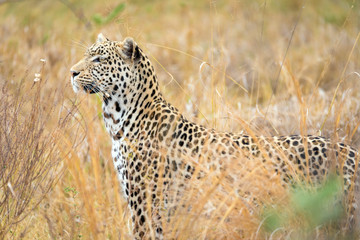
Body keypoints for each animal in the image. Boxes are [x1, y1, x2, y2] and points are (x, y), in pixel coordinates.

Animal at [71, 32, 360, 239]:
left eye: (98, 60)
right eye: (86, 55)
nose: (72, 72)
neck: (119, 120)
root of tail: (351, 151)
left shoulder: (144, 203)